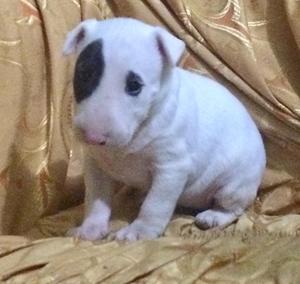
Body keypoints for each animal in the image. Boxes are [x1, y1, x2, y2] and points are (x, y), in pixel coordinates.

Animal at [62, 17, 264, 241]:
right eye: (83, 74)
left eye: (134, 85)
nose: (93, 137)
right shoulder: (96, 164)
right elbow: (96, 197)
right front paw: (90, 228)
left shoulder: (172, 166)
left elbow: (155, 204)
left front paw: (139, 231)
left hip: (235, 184)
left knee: (234, 208)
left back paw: (213, 216)